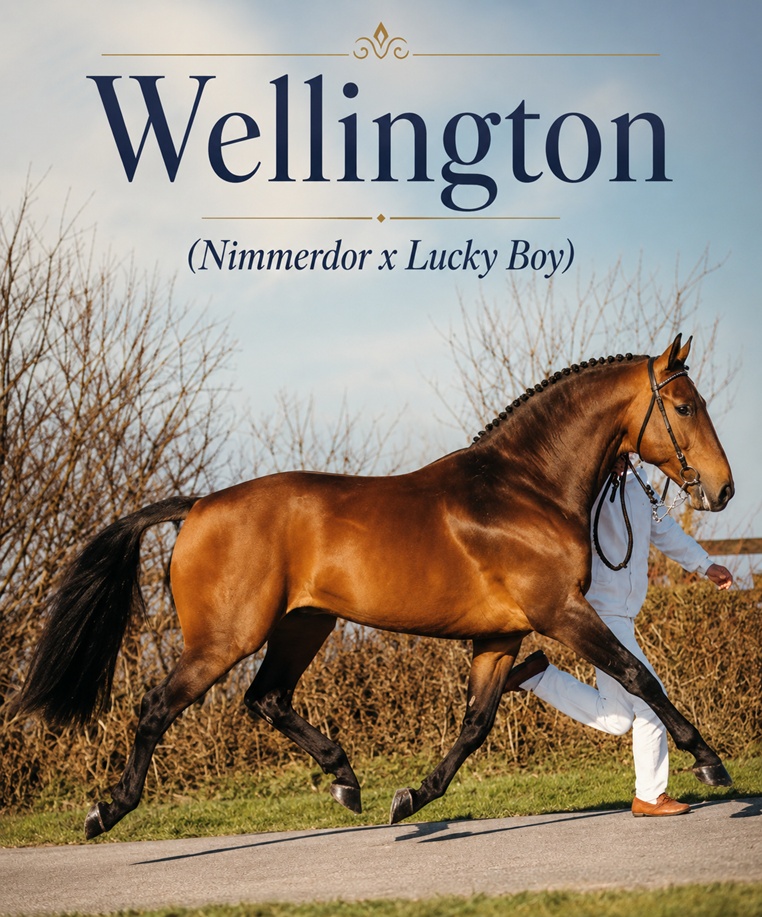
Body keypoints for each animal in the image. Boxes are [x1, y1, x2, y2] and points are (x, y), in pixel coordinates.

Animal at [15, 333, 735, 840]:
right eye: (684, 404)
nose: (723, 488)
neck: (522, 488)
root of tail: (197, 506)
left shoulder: (500, 635)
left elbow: (476, 722)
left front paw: (411, 797)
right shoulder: (559, 611)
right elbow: (640, 677)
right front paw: (712, 763)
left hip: (305, 624)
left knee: (266, 697)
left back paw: (345, 779)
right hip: (225, 638)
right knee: (156, 707)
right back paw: (107, 811)